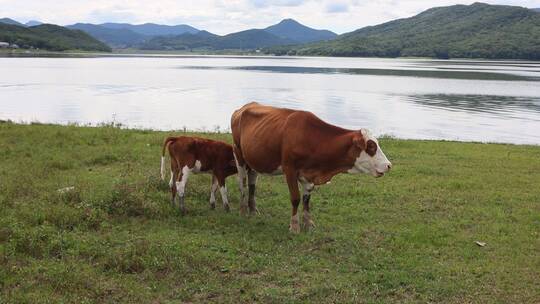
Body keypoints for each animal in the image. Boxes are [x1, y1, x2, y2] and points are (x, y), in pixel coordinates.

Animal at [232, 102, 392, 233]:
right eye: (371, 147)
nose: (388, 165)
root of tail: (244, 107)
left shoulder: (309, 175)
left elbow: (306, 200)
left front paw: (308, 224)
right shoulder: (289, 169)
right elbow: (295, 198)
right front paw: (294, 226)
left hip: (254, 160)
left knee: (252, 184)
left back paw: (253, 210)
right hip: (238, 154)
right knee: (242, 183)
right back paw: (242, 210)